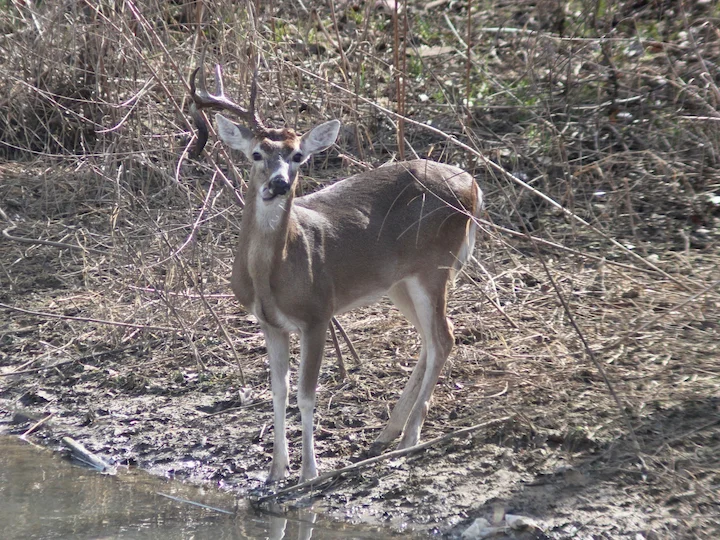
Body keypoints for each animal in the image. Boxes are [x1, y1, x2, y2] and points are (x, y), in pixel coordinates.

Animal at [189, 58, 483, 483]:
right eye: (257, 153)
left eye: (297, 155)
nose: (280, 184)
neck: (273, 272)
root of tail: (473, 184)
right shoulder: (269, 322)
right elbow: (278, 390)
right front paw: (276, 470)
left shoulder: (317, 312)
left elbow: (306, 394)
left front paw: (309, 472)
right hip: (400, 281)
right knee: (430, 341)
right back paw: (389, 431)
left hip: (435, 264)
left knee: (444, 337)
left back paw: (410, 437)